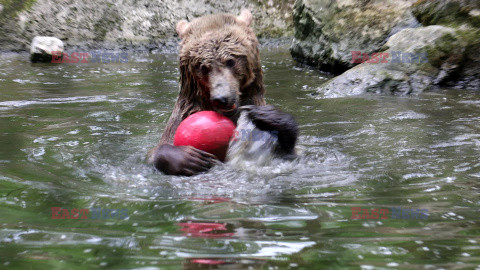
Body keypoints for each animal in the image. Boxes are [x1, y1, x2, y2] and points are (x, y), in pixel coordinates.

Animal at [148, 10, 298, 175]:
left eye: (231, 61)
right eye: (203, 67)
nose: (221, 98)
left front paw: (268, 115)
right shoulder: (182, 115)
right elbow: (157, 151)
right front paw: (188, 157)